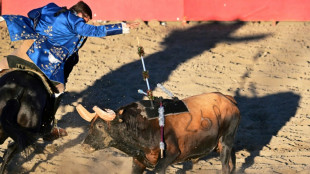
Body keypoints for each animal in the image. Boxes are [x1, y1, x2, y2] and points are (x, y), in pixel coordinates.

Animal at [76, 92, 241, 173]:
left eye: (100, 126)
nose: (83, 146)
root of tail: (229, 99)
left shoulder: (169, 157)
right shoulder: (138, 160)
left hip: (226, 140)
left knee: (225, 166)